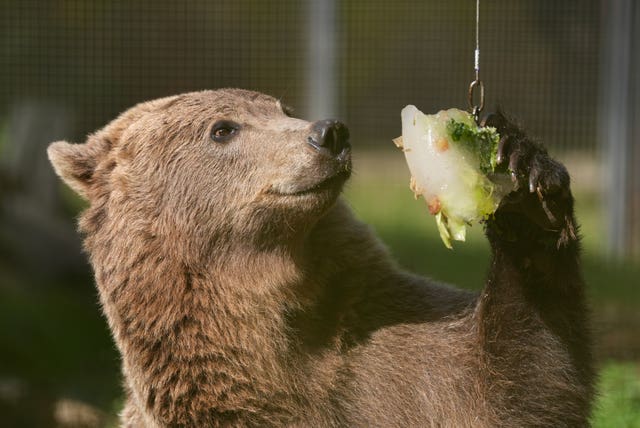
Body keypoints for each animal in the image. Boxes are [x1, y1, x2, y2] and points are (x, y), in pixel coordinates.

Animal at [47, 88, 592, 426]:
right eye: (222, 129)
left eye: (283, 106)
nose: (329, 132)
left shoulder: (388, 355)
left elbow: (510, 391)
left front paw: (523, 174)